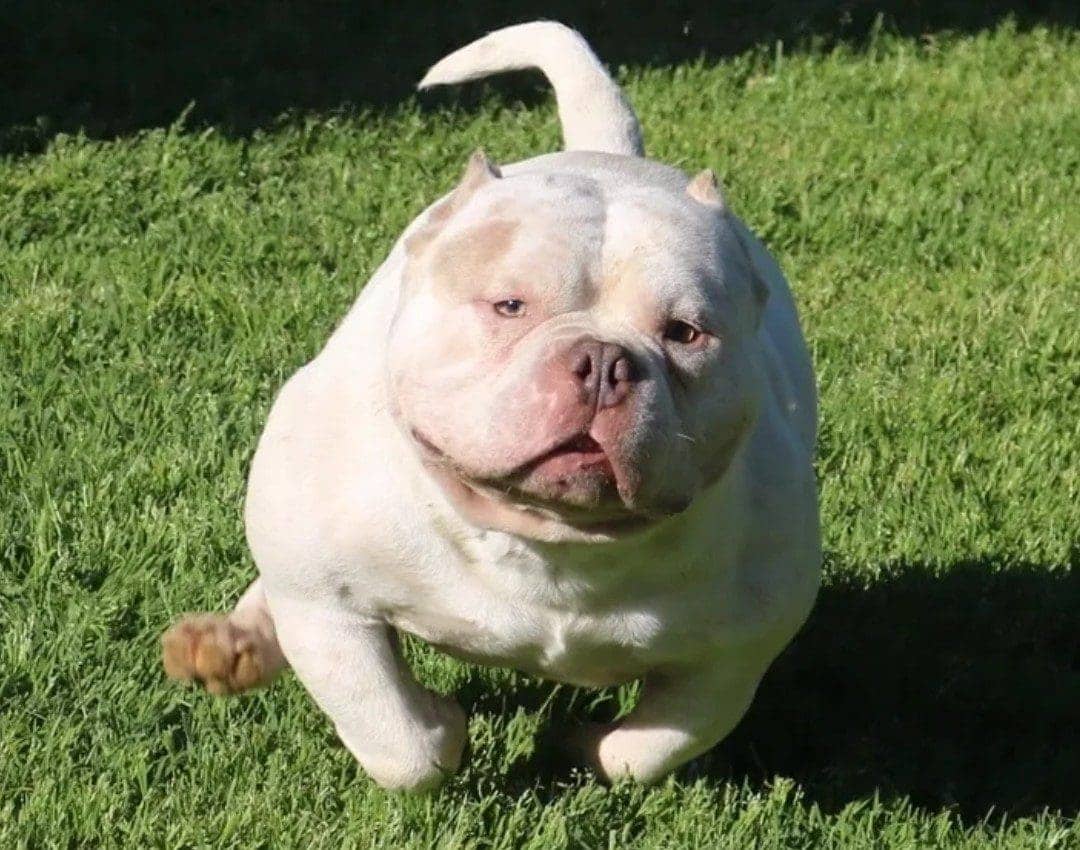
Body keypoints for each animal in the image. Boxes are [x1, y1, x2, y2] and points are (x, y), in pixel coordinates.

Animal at [162, 23, 816, 794]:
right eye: (509, 305)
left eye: (685, 333)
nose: (603, 363)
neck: (548, 545)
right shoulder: (325, 605)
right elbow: (395, 739)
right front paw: (441, 729)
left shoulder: (734, 655)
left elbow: (653, 747)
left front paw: (584, 747)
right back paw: (232, 643)